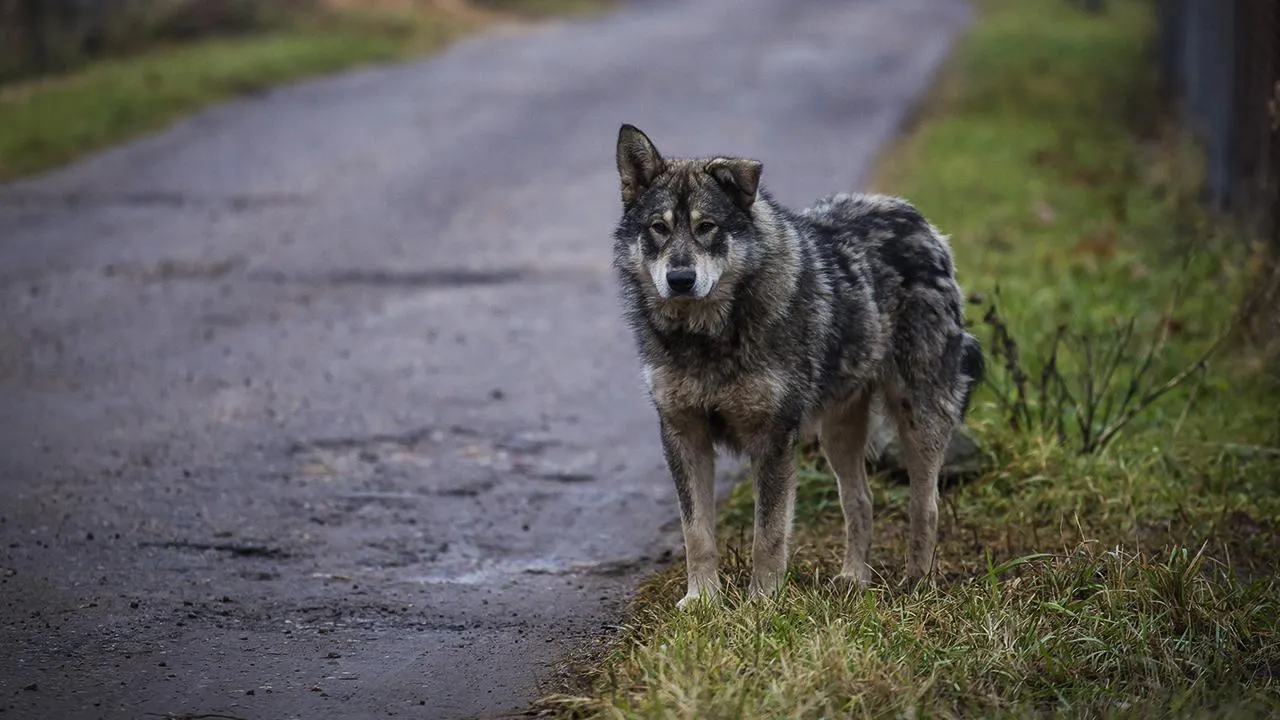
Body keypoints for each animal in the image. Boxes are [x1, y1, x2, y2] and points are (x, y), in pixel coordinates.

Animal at [614, 124, 983, 604]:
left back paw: (917, 583)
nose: (680, 280)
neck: (707, 336)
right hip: (837, 434)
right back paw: (853, 579)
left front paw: (761, 602)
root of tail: (914, 217)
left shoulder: (773, 438)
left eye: (706, 227)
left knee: (926, 505)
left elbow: (767, 535)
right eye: (658, 228)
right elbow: (697, 533)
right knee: (860, 502)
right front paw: (702, 601)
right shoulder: (683, 434)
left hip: (918, 420)